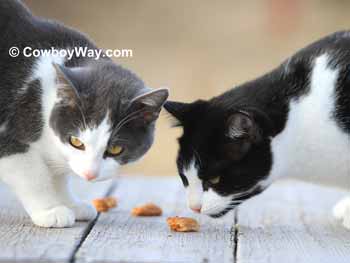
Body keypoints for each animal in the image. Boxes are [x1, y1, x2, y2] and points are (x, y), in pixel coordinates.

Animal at [0, 0, 168, 228]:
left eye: (116, 149)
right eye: (76, 142)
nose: (89, 174)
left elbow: (57, 174)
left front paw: (70, 204)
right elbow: (33, 176)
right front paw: (51, 210)